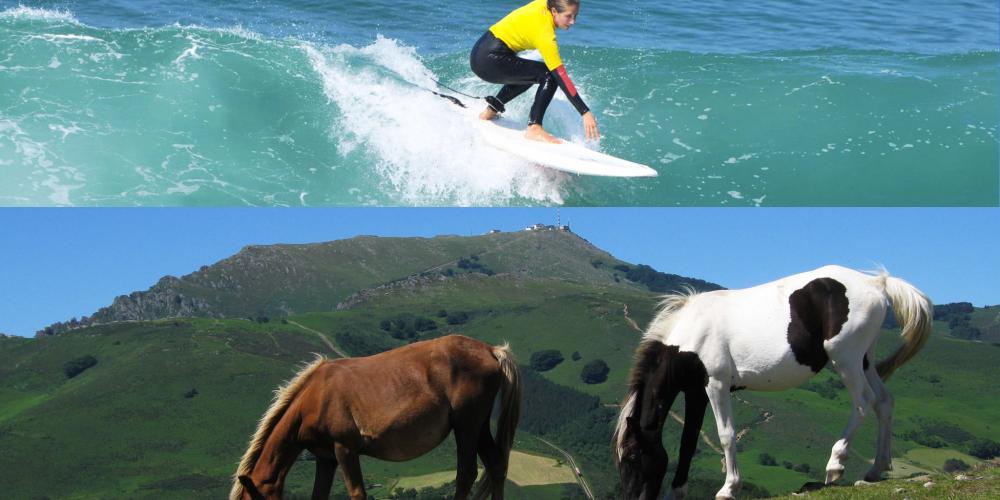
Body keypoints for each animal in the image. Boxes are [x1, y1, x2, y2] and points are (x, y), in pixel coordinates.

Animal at [230, 334, 520, 500]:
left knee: (466, 474)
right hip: (478, 426)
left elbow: (357, 493)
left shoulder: (345, 449)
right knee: (496, 465)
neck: (314, 398)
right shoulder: (326, 458)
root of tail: (490, 350)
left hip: (466, 426)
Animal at [612, 266, 932, 500]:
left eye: (632, 457)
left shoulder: (715, 385)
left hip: (845, 359)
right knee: (884, 402)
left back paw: (835, 465)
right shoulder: (695, 392)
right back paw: (876, 469)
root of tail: (876, 283)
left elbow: (726, 434)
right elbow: (687, 441)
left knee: (864, 403)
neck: (692, 332)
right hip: (864, 360)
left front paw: (729, 488)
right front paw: (677, 492)